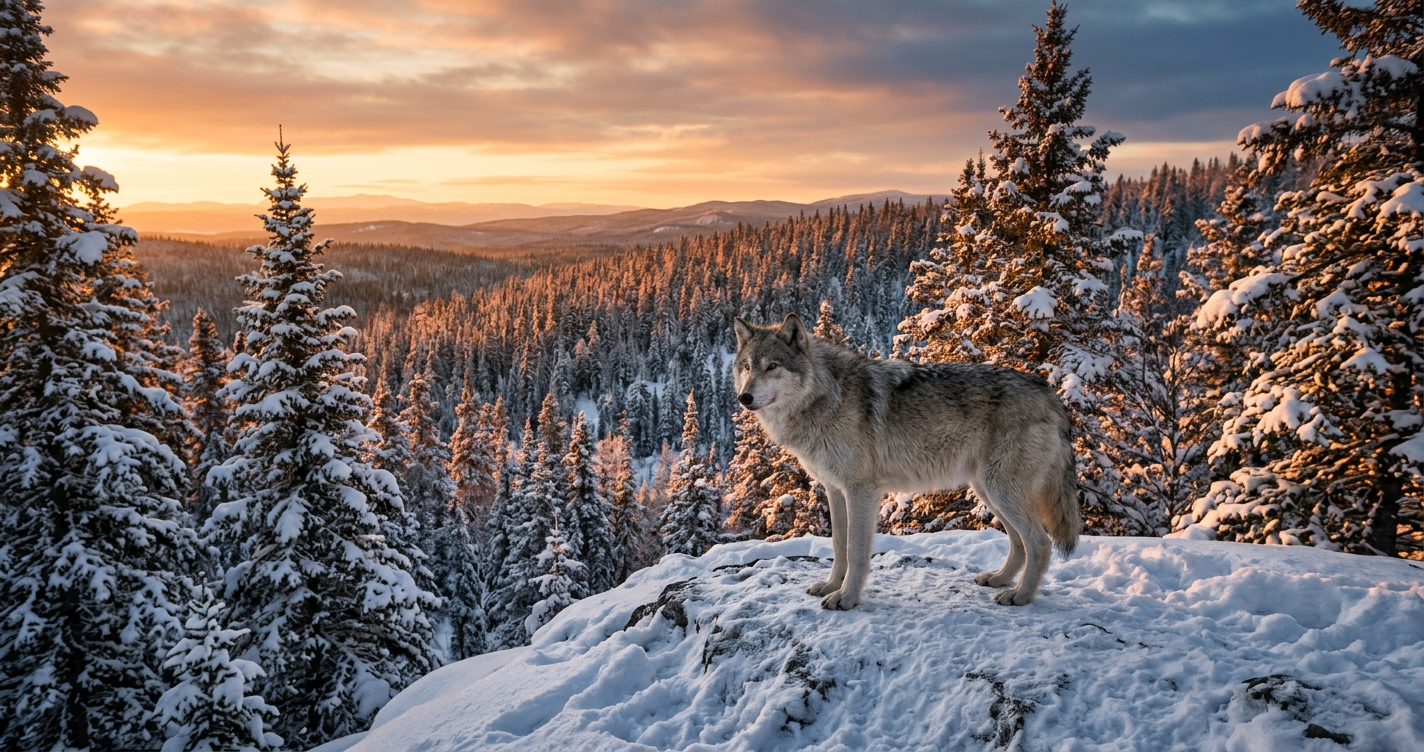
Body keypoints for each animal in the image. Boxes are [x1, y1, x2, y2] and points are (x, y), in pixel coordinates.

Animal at [732, 313, 1080, 609]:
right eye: (747, 366)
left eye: (772, 365)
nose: (743, 398)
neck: (826, 396)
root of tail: (1049, 392)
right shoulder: (834, 489)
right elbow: (839, 546)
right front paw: (831, 586)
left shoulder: (861, 491)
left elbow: (856, 551)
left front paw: (846, 598)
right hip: (988, 492)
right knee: (1019, 544)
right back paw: (1000, 580)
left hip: (1001, 491)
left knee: (1040, 543)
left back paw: (1020, 595)